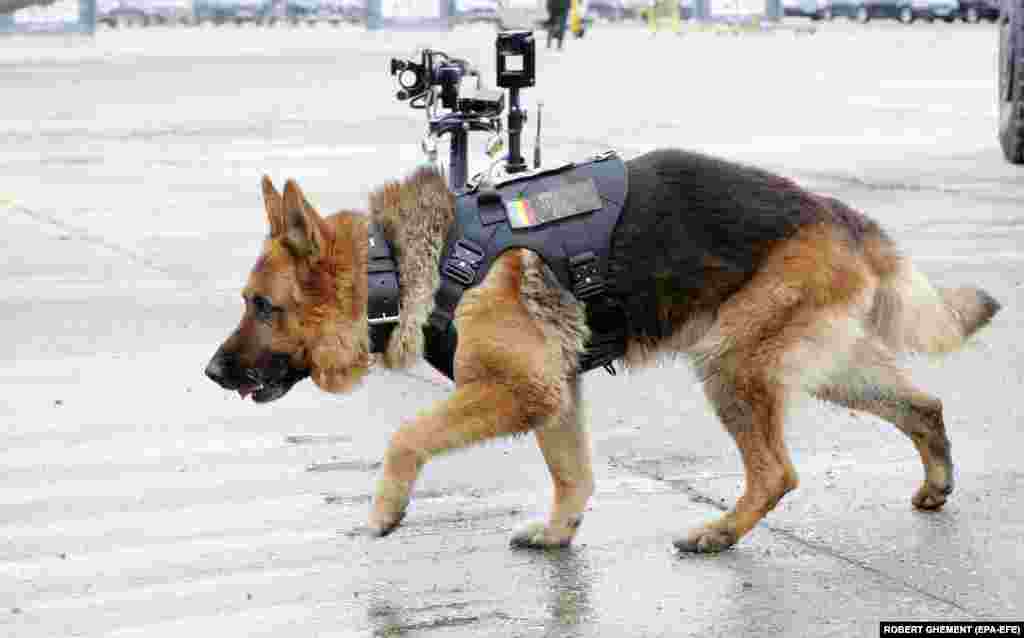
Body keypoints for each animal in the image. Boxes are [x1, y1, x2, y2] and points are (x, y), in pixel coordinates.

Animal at [205, 150, 999, 553]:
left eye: (262, 305)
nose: (211, 372)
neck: (396, 263)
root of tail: (841, 212)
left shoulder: (519, 391)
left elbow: (407, 434)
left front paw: (385, 511)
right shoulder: (554, 394)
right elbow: (572, 473)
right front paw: (561, 533)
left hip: (730, 363)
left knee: (777, 471)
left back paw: (720, 532)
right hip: (821, 364)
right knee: (922, 404)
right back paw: (937, 480)